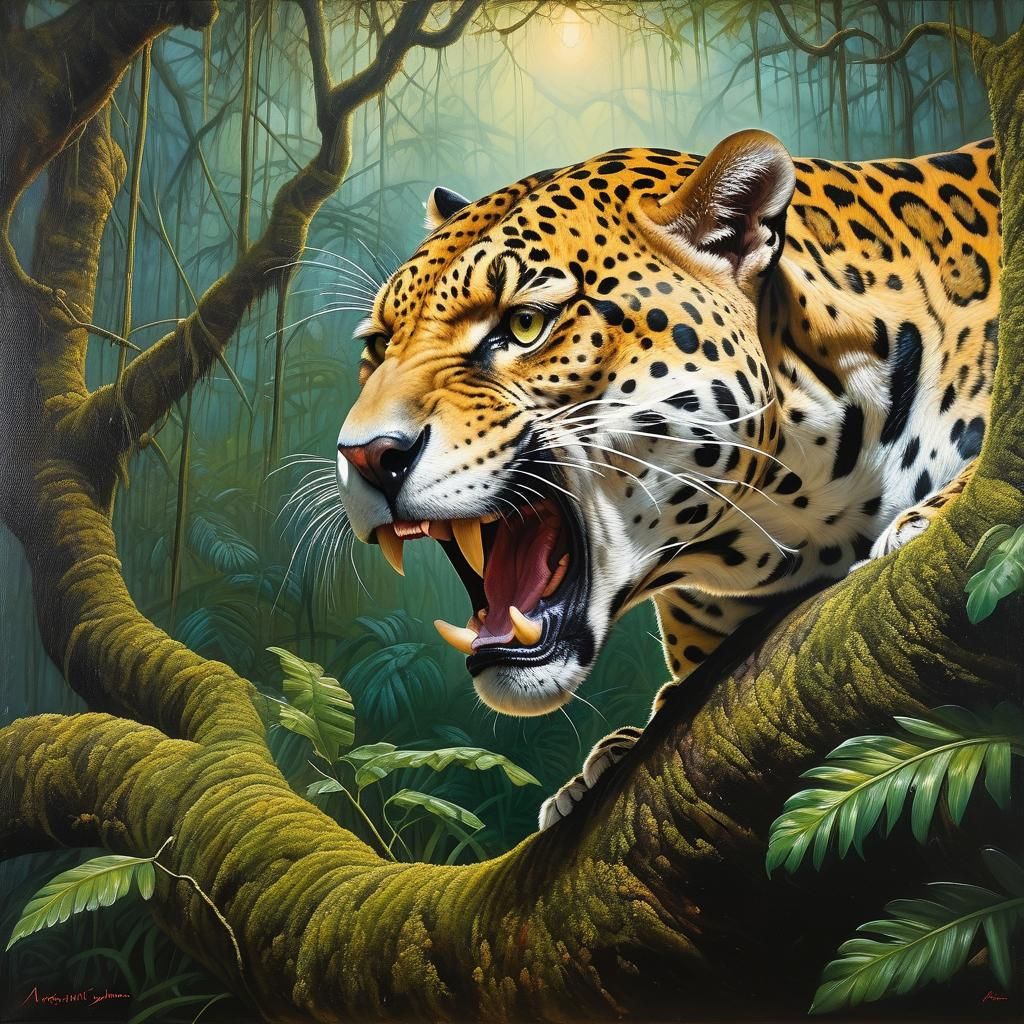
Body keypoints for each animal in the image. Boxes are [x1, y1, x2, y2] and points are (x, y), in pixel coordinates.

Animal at [333, 129, 1000, 830]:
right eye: (378, 345)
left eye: (524, 325)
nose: (366, 455)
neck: (791, 515)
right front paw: (604, 761)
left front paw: (923, 518)